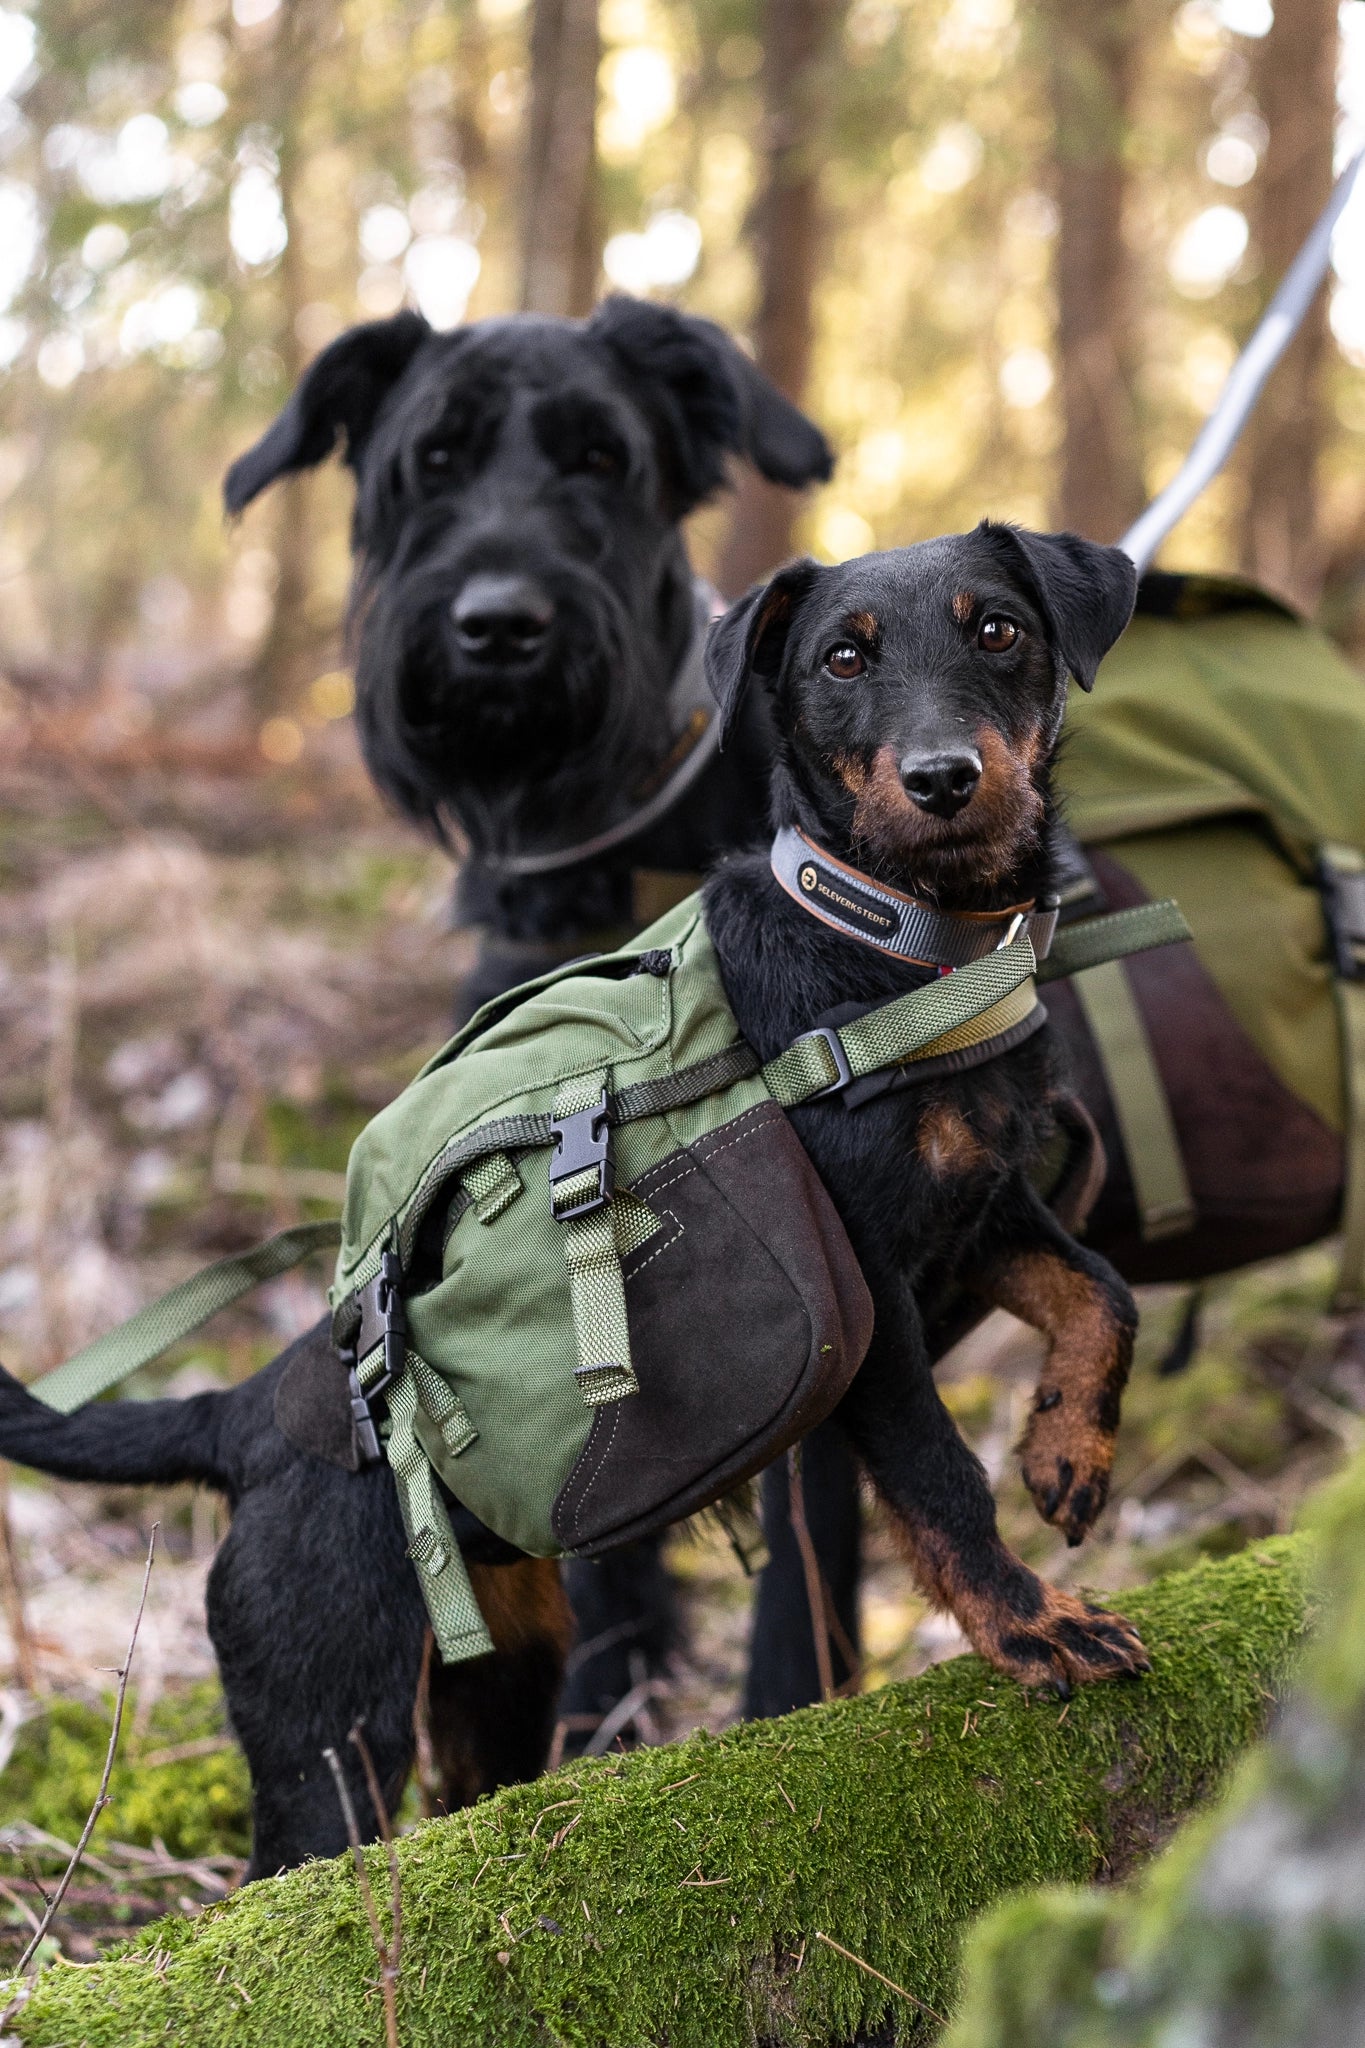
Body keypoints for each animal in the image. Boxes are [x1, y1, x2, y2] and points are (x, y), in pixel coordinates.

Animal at [0, 524, 1154, 1875]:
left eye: (1000, 631)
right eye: (843, 658)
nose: (941, 778)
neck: (898, 947)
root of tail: (244, 1417)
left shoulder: (978, 1205)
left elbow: (1103, 1292)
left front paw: (1067, 1449)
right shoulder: (875, 1291)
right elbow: (939, 1477)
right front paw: (1030, 1624)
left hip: (505, 1667)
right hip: (327, 1718)